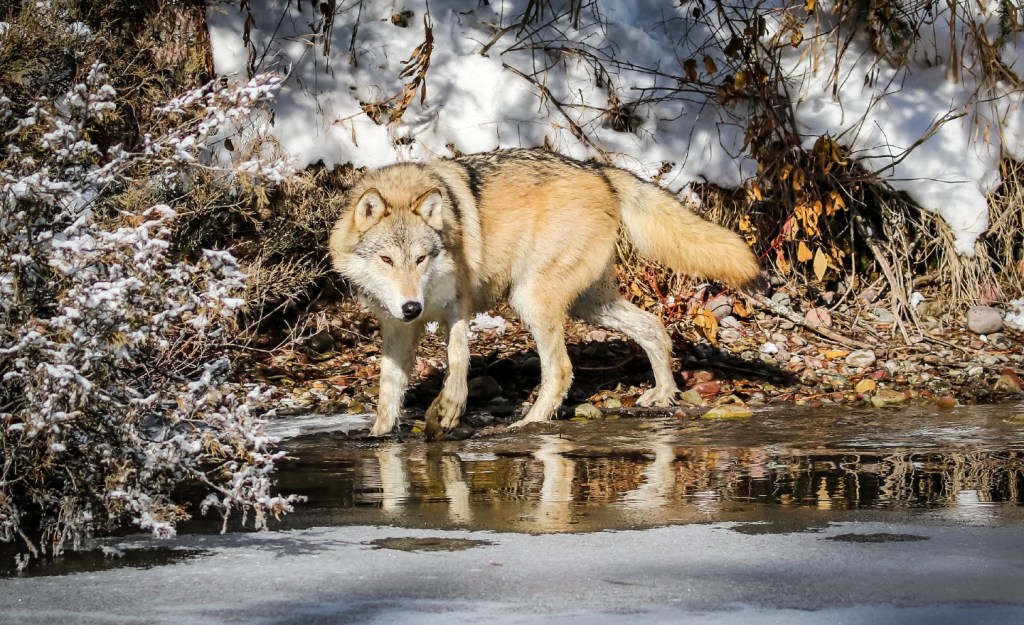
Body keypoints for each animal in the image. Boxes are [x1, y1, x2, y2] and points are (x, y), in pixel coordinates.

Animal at [327, 147, 761, 436]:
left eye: (420, 259)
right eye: (386, 260)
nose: (412, 307)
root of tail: (600, 171)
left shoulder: (458, 307)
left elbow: (458, 360)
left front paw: (447, 412)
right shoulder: (396, 327)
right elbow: (389, 388)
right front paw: (379, 436)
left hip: (531, 299)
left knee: (562, 369)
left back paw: (530, 423)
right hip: (592, 305)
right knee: (654, 326)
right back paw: (663, 395)